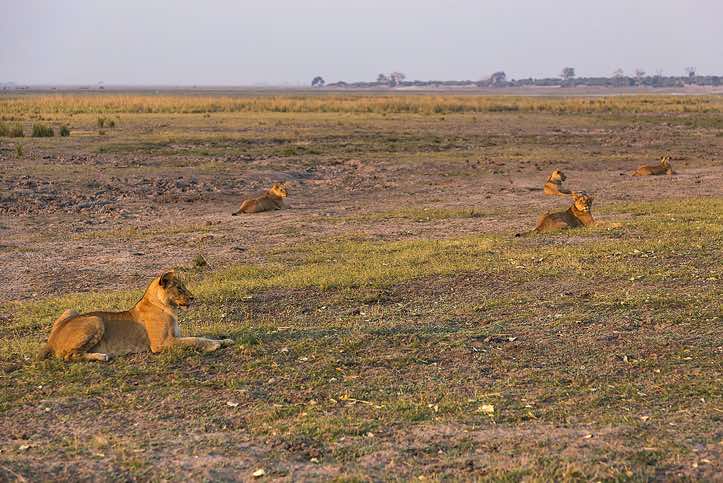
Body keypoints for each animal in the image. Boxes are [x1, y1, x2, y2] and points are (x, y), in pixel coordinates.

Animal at [36, 271, 234, 362]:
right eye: (179, 287)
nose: (193, 298)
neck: (167, 307)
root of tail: (50, 340)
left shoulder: (174, 337)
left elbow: (200, 336)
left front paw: (225, 340)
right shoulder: (160, 344)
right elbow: (193, 340)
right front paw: (214, 345)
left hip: (71, 310)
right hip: (95, 319)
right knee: (69, 355)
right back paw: (101, 356)